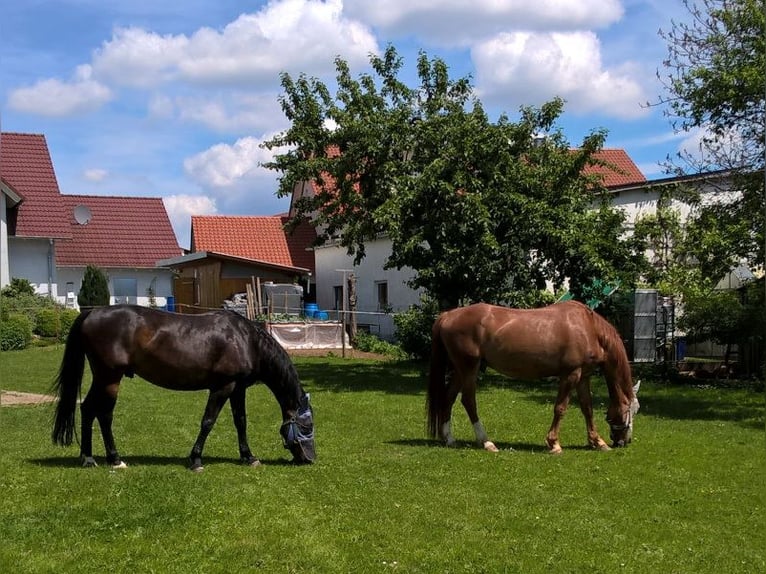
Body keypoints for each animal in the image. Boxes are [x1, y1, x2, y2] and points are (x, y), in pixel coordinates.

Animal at [51, 306, 316, 472]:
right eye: (306, 427)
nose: (310, 459)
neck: (246, 341)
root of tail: (91, 312)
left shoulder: (238, 389)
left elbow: (241, 422)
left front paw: (248, 457)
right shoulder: (222, 387)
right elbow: (207, 422)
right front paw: (196, 459)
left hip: (105, 379)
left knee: (88, 410)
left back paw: (92, 457)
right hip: (109, 378)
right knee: (103, 414)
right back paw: (107, 459)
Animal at [428, 302, 640, 454]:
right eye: (630, 410)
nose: (625, 441)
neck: (589, 328)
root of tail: (448, 315)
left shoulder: (583, 377)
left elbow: (587, 409)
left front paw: (598, 442)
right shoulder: (570, 375)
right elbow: (560, 408)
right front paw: (554, 444)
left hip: (460, 369)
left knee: (449, 398)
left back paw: (449, 439)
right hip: (469, 367)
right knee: (468, 400)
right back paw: (486, 442)